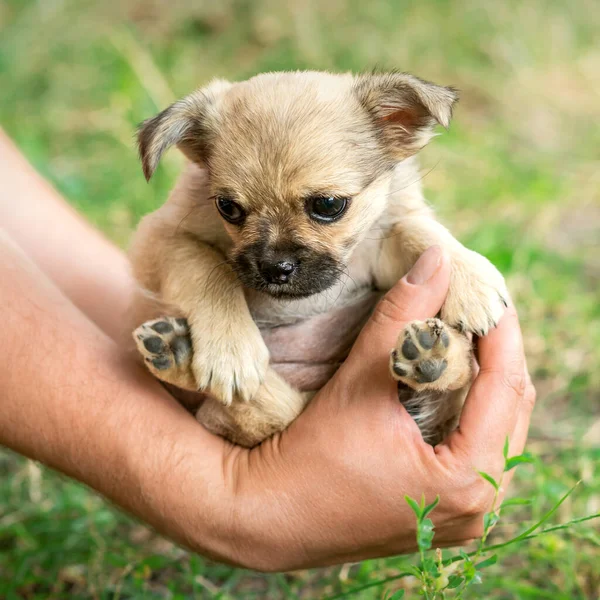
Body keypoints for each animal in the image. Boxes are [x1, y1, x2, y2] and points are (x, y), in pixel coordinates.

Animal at [126, 71, 506, 446]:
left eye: (328, 205)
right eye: (228, 208)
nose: (275, 267)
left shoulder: (382, 242)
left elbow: (418, 230)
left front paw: (471, 279)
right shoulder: (161, 238)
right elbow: (208, 268)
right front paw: (230, 350)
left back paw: (431, 357)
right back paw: (178, 352)